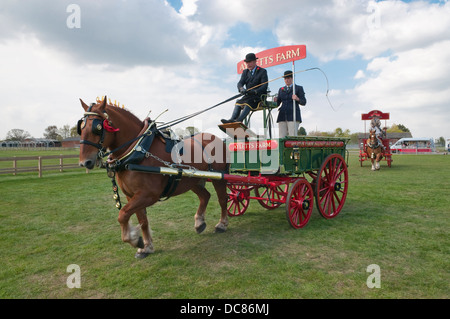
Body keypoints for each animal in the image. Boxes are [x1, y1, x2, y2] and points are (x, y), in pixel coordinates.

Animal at [77, 97, 229, 260]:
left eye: (98, 127)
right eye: (81, 127)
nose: (84, 162)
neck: (138, 149)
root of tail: (217, 139)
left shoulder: (149, 195)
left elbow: (122, 214)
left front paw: (134, 239)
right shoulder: (131, 195)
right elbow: (142, 220)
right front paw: (146, 247)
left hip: (219, 177)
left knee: (222, 199)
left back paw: (222, 224)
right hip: (191, 181)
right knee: (205, 196)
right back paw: (199, 223)